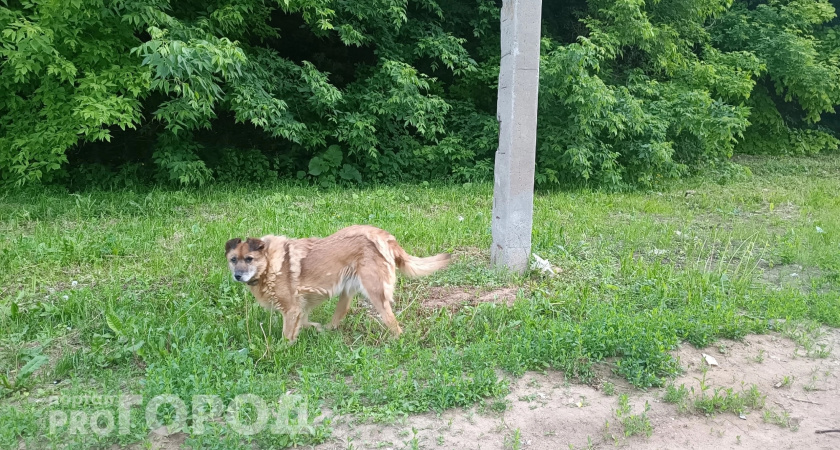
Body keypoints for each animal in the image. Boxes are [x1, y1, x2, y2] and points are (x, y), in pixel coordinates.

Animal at [221, 225, 446, 342]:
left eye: (249, 259)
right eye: (233, 260)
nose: (238, 276)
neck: (269, 264)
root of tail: (385, 236)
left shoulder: (291, 309)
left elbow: (287, 336)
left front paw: (282, 351)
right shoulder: (300, 308)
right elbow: (304, 322)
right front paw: (314, 328)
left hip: (376, 292)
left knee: (394, 324)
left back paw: (397, 340)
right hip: (347, 290)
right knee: (341, 314)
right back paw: (328, 329)